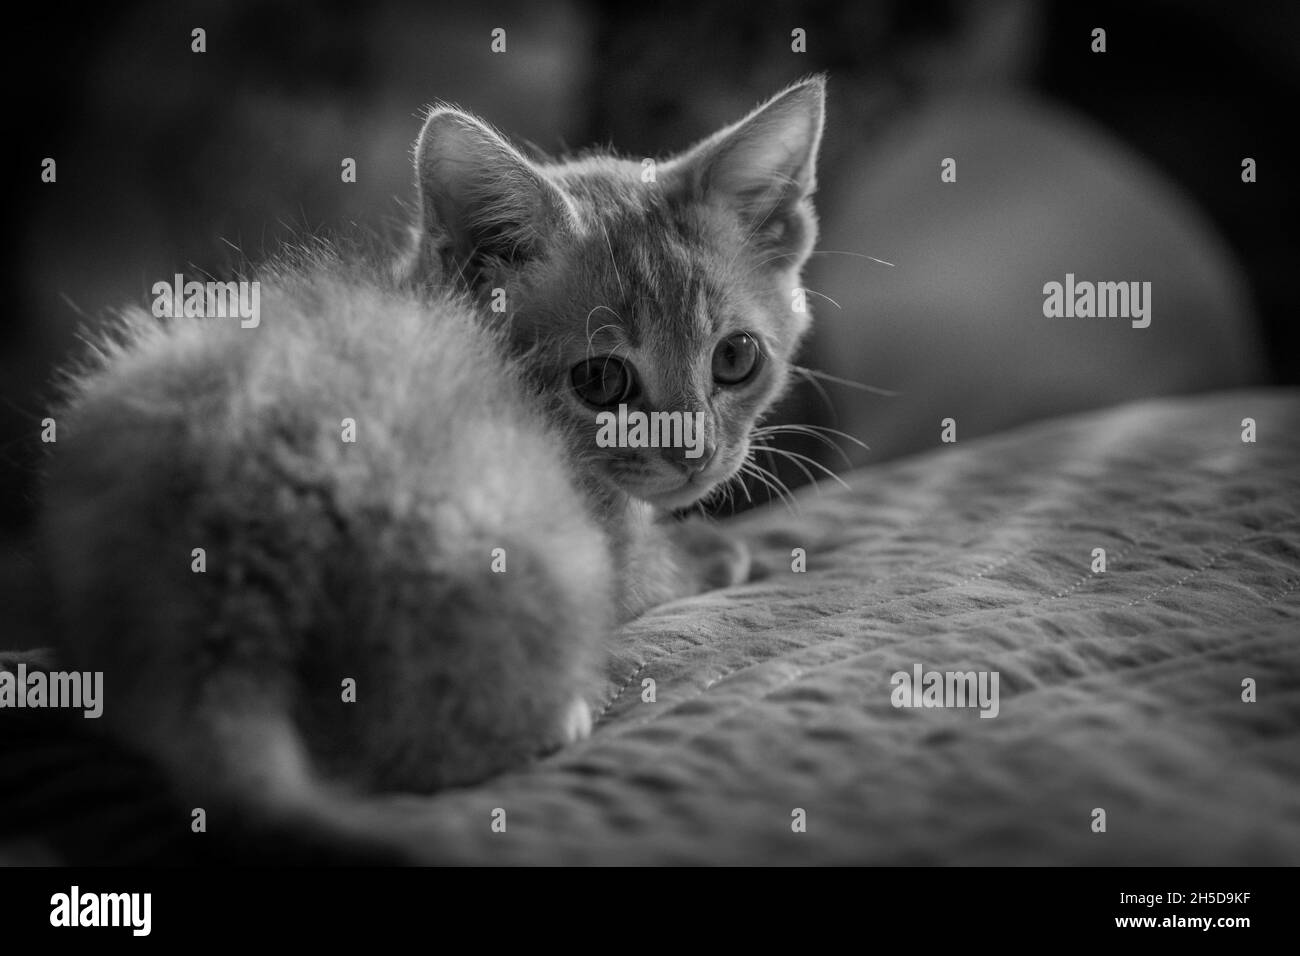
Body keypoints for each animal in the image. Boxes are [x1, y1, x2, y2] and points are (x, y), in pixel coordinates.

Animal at [45, 74, 826, 827]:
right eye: (601, 382)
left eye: (736, 358)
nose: (696, 457)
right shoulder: (607, 542)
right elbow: (650, 569)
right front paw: (710, 549)